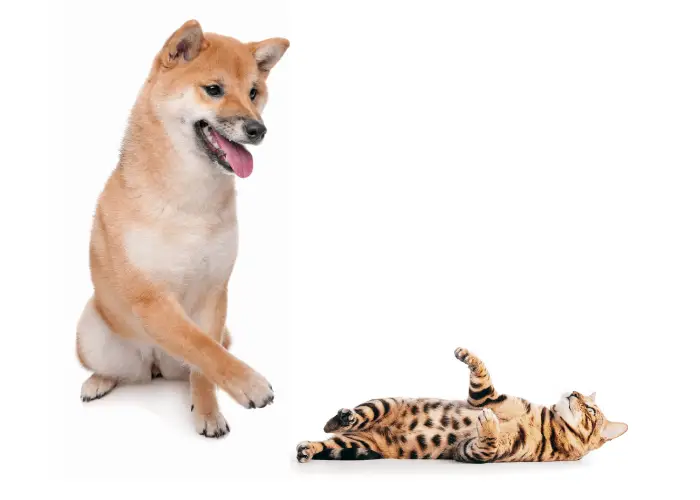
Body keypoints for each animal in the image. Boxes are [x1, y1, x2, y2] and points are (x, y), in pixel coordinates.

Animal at [74, 19, 288, 436]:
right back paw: (98, 381)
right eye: (214, 89)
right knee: (118, 370)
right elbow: (199, 345)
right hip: (91, 330)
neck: (190, 201)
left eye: (254, 92)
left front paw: (208, 412)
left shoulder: (214, 292)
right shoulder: (151, 298)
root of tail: (154, 364)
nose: (258, 129)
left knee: (189, 367)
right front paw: (250, 384)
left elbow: (206, 356)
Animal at [298, 346, 628, 462]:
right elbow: (481, 371)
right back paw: (339, 419)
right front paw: (465, 354)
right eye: (583, 397)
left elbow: (487, 443)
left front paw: (489, 424)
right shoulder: (488, 397)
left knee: (330, 442)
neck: (547, 423)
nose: (575, 393)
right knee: (344, 420)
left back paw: (309, 448)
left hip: (357, 446)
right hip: (384, 403)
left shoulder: (472, 452)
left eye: (590, 409)